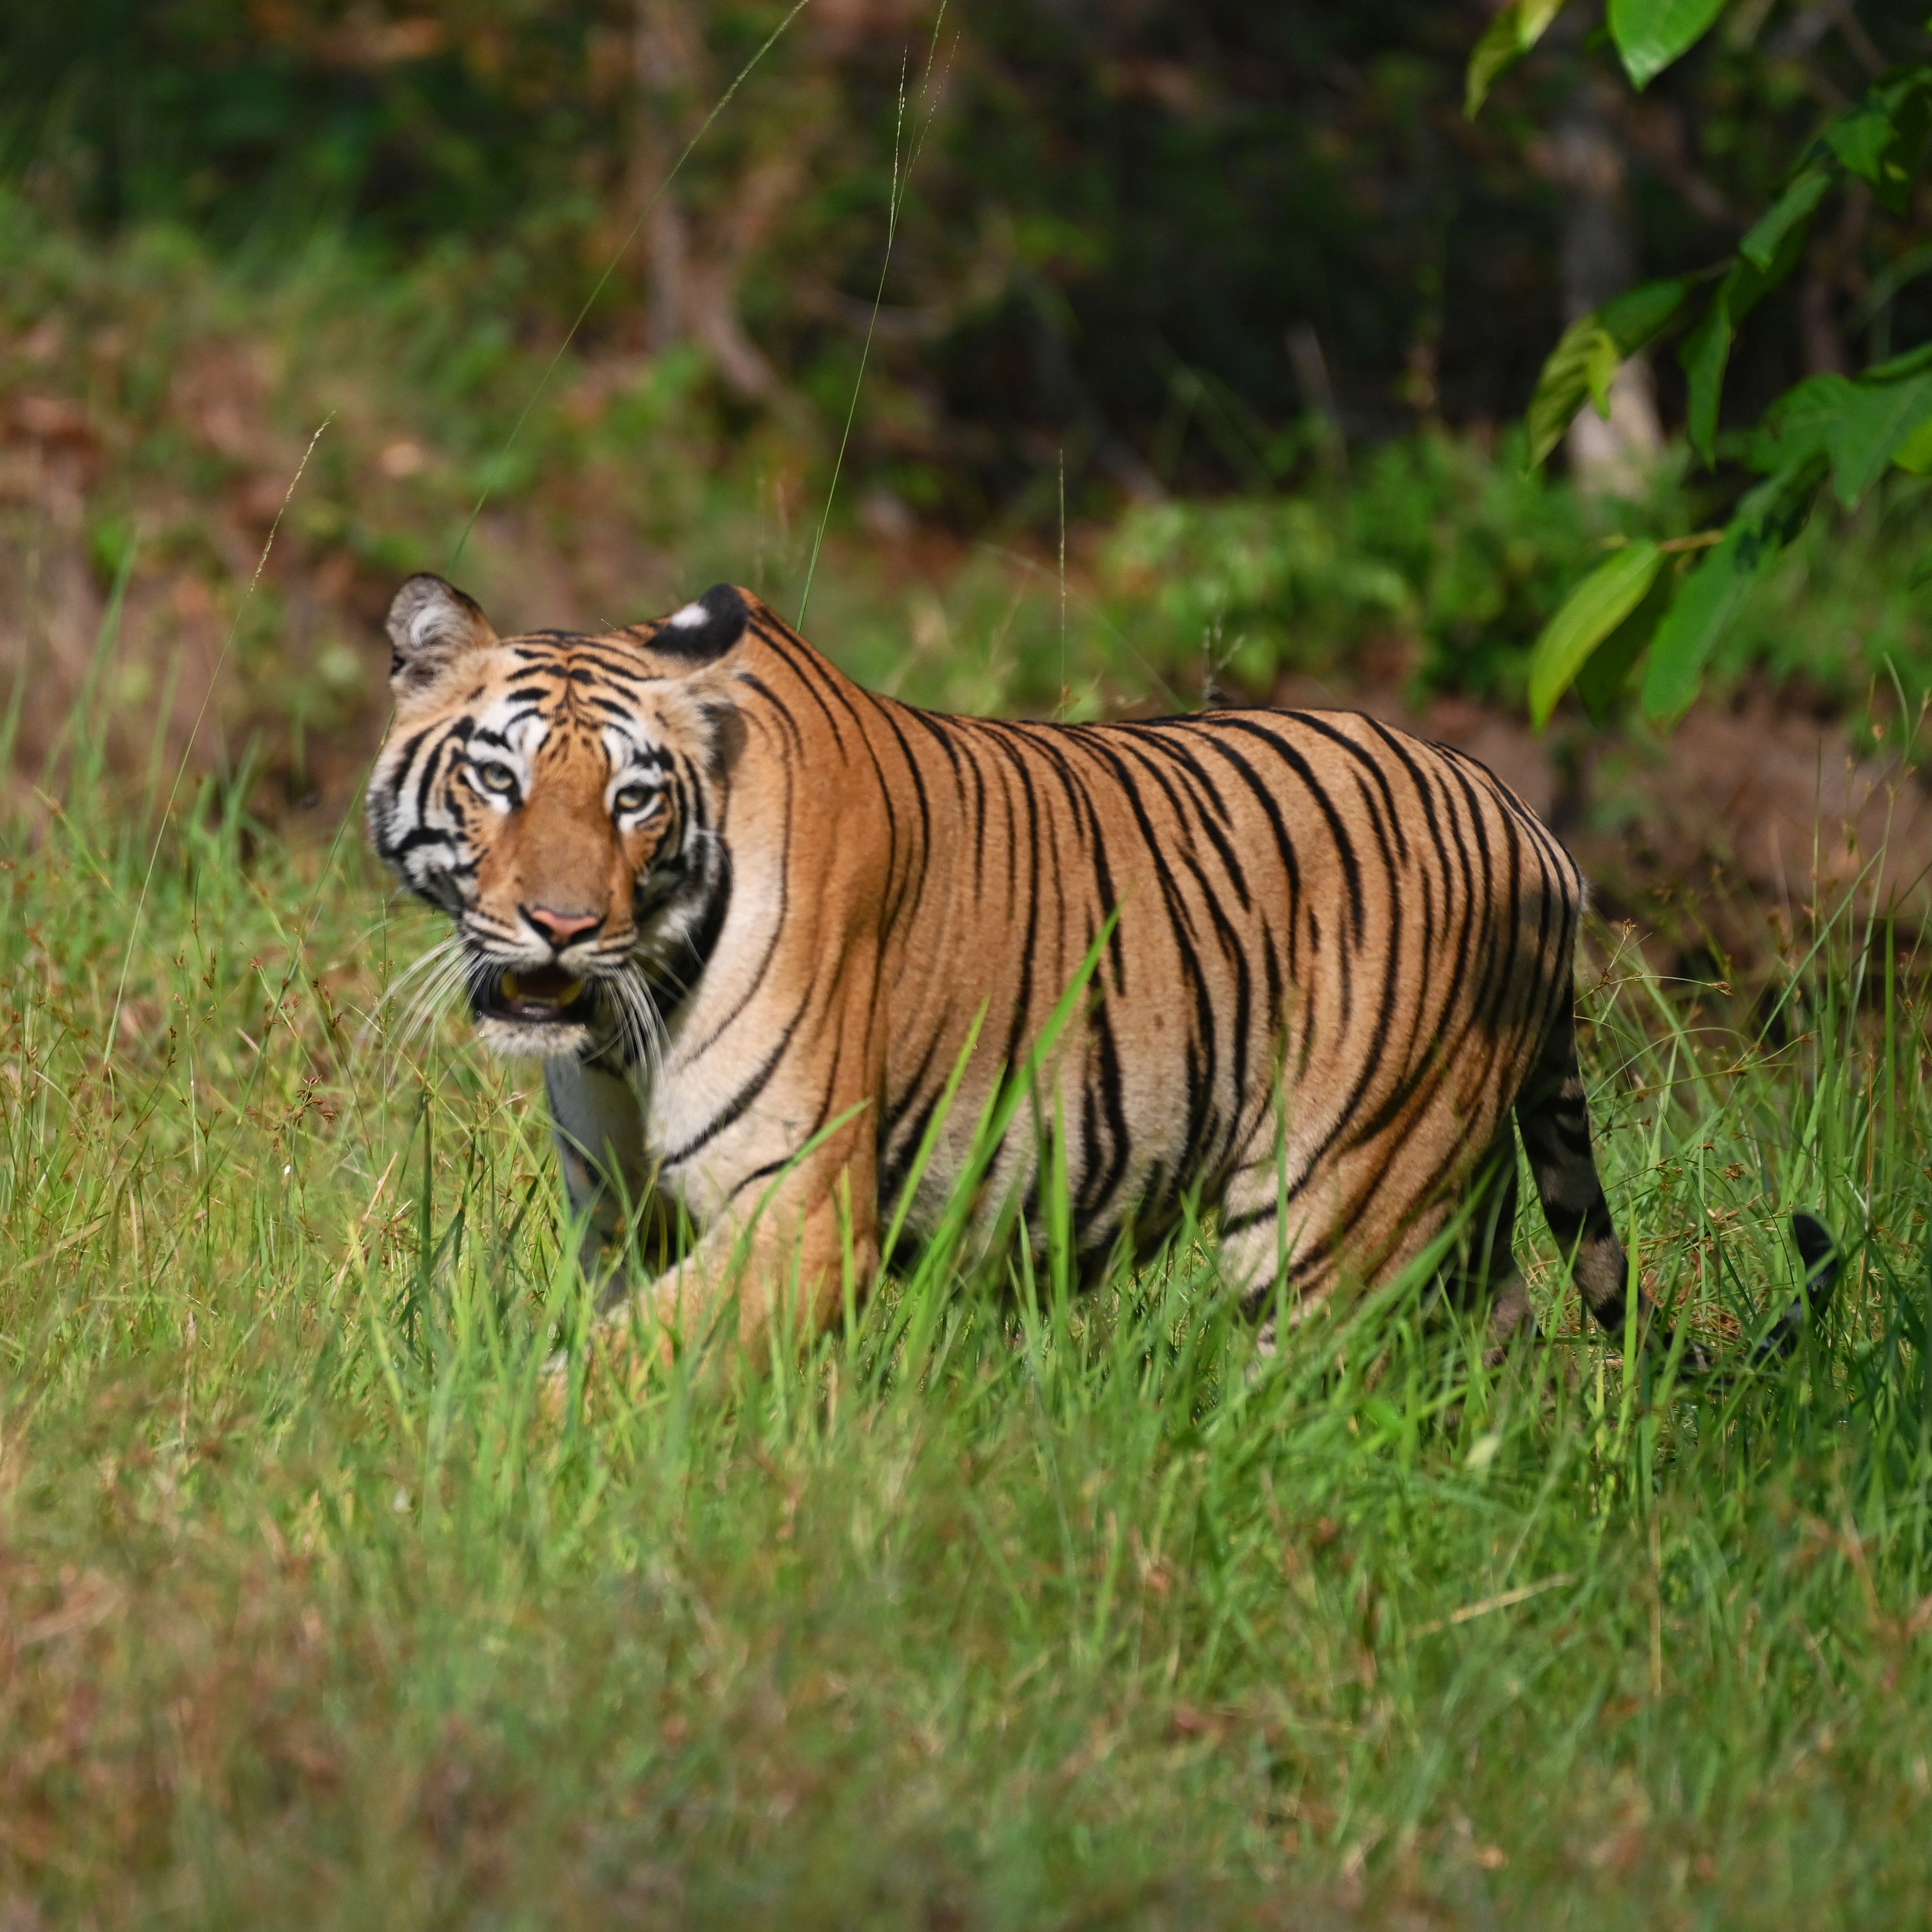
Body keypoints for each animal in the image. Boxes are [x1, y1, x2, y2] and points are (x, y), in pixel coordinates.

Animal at [365, 573, 1833, 1379]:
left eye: (632, 800)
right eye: (499, 780)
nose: (559, 925)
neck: (630, 1025)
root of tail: (1529, 822)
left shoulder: (802, 1215)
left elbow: (605, 1376)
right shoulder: (630, 1221)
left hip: (1336, 1216)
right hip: (1447, 1206)